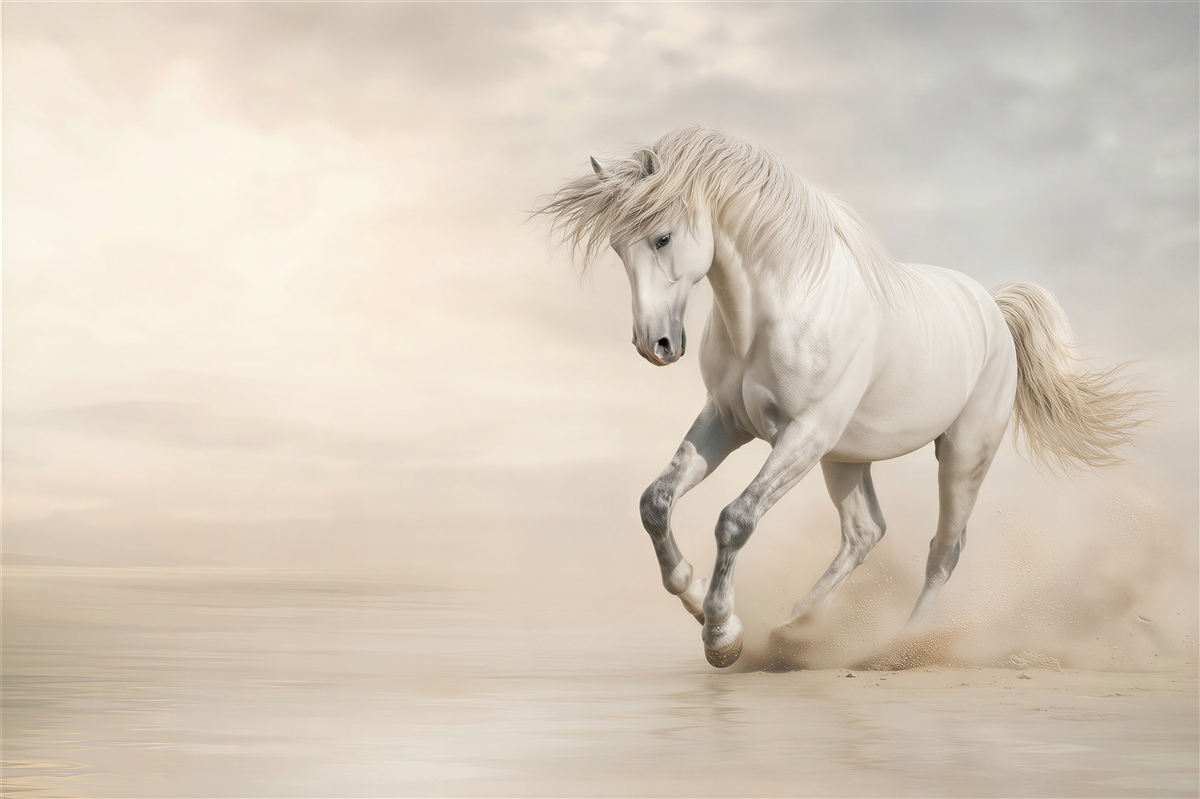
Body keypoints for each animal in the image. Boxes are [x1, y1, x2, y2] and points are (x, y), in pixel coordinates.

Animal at [537, 127, 1155, 668]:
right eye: (617, 247)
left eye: (662, 237)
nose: (657, 345)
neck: (777, 309)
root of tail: (993, 310)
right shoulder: (727, 422)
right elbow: (656, 501)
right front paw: (696, 599)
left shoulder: (804, 432)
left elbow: (735, 519)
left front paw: (721, 636)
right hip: (846, 457)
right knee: (865, 532)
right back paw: (795, 629)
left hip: (960, 456)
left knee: (943, 551)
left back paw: (897, 649)